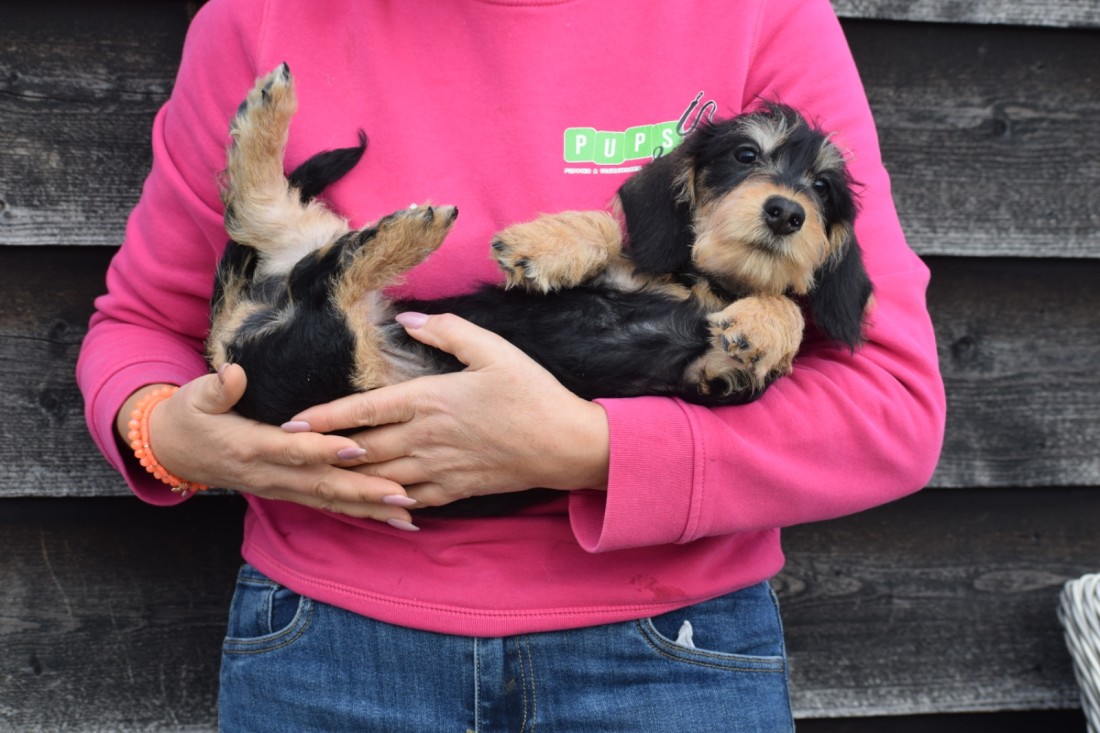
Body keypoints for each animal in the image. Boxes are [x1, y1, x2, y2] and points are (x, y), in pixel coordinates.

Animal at [208, 64, 872, 436]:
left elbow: (776, 314)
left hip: (338, 362)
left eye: (823, 189)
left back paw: (405, 227)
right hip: (330, 344)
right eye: (745, 154)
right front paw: (542, 246)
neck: (703, 283)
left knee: (308, 254)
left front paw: (759, 327)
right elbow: (611, 234)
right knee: (293, 237)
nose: (786, 212)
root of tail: (235, 345)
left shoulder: (706, 373)